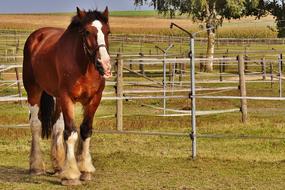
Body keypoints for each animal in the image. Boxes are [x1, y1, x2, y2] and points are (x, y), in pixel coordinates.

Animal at [22, 6, 111, 185]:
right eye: (86, 32)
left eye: (108, 31)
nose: (104, 64)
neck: (83, 66)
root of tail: (37, 36)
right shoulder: (67, 98)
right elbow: (70, 133)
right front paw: (71, 175)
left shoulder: (94, 99)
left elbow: (85, 130)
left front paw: (84, 169)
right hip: (34, 91)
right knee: (35, 124)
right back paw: (36, 166)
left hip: (56, 98)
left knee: (57, 127)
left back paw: (58, 165)